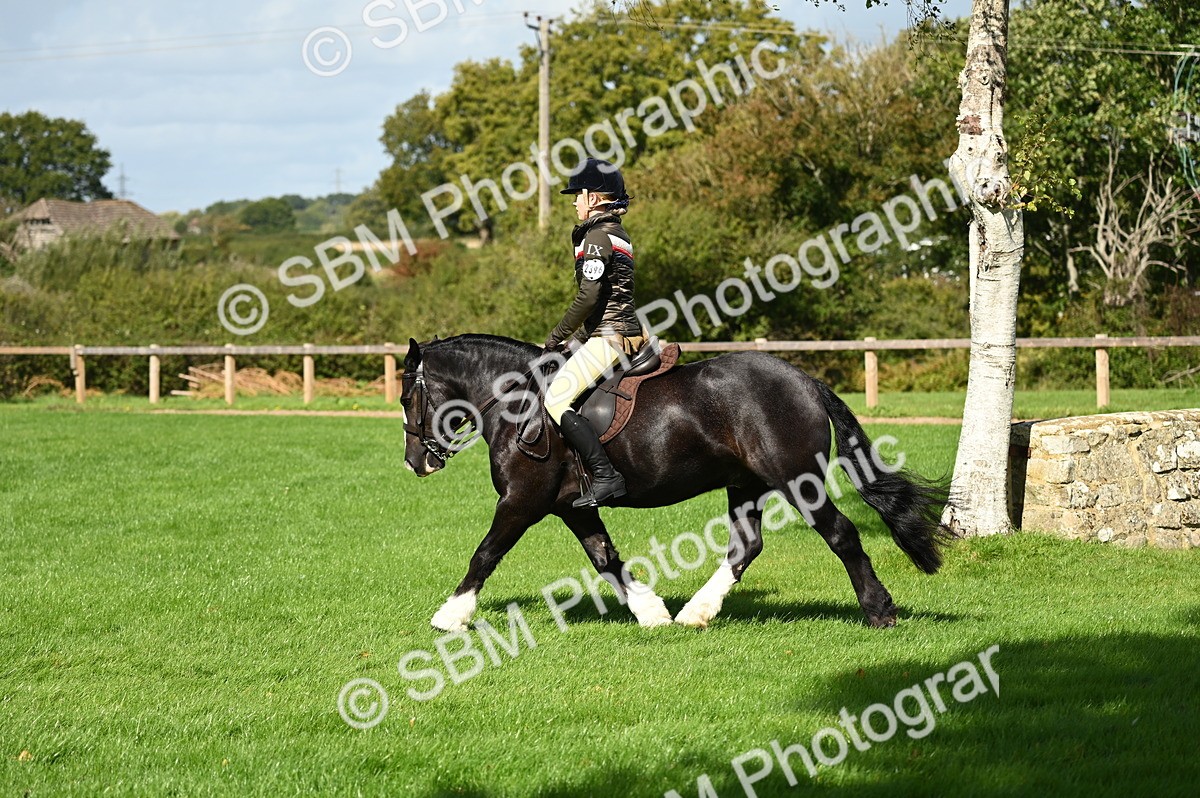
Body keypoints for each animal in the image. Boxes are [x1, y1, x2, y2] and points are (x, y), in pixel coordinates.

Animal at [401, 334, 951, 631]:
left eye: (408, 398)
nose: (414, 464)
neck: (516, 401)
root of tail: (805, 381)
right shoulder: (572, 506)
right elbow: (605, 559)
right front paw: (650, 612)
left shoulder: (522, 501)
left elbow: (485, 553)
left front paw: (450, 616)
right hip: (745, 484)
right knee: (745, 547)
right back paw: (695, 613)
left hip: (797, 479)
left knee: (841, 534)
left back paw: (879, 610)